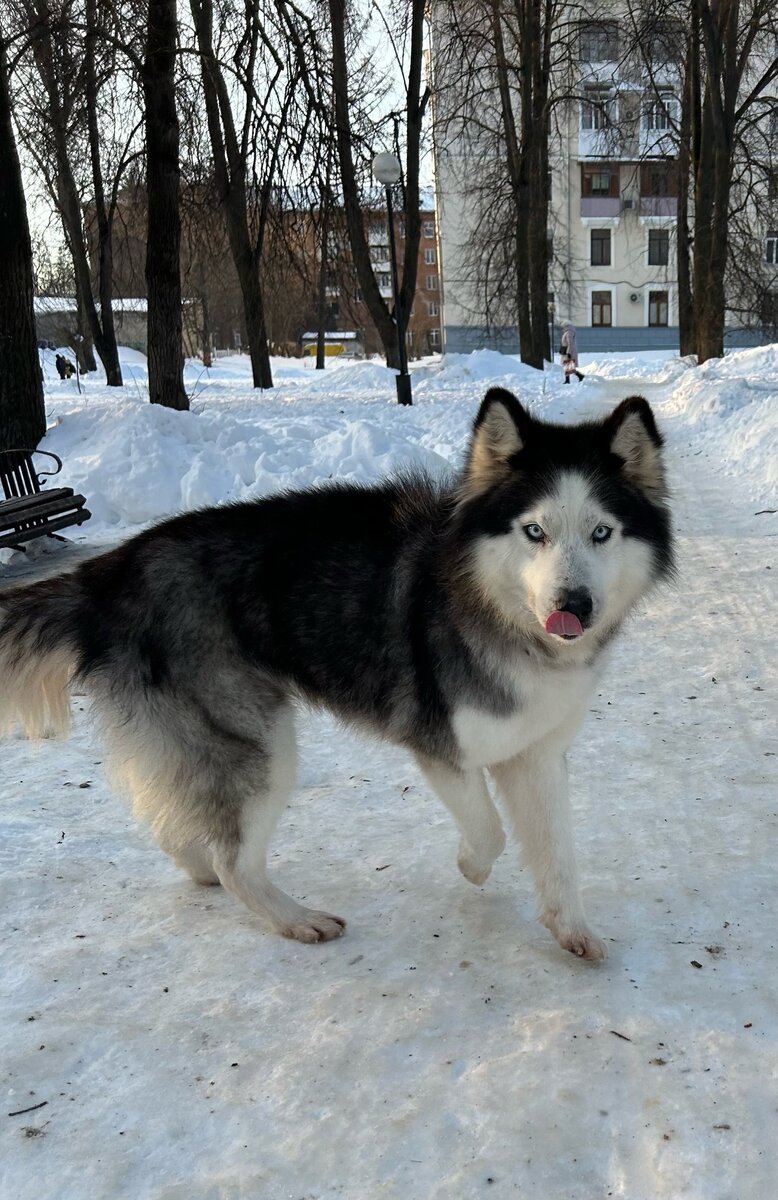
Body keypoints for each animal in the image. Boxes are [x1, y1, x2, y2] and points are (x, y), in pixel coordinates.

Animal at [0, 388, 672, 960]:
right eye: (535, 531)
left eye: (601, 533)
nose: (574, 606)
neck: (499, 615)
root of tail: (113, 569)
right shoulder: (442, 746)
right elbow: (490, 834)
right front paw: (471, 867)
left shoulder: (535, 751)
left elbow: (556, 851)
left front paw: (571, 928)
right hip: (257, 742)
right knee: (234, 860)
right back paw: (295, 918)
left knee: (177, 822)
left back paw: (198, 863)